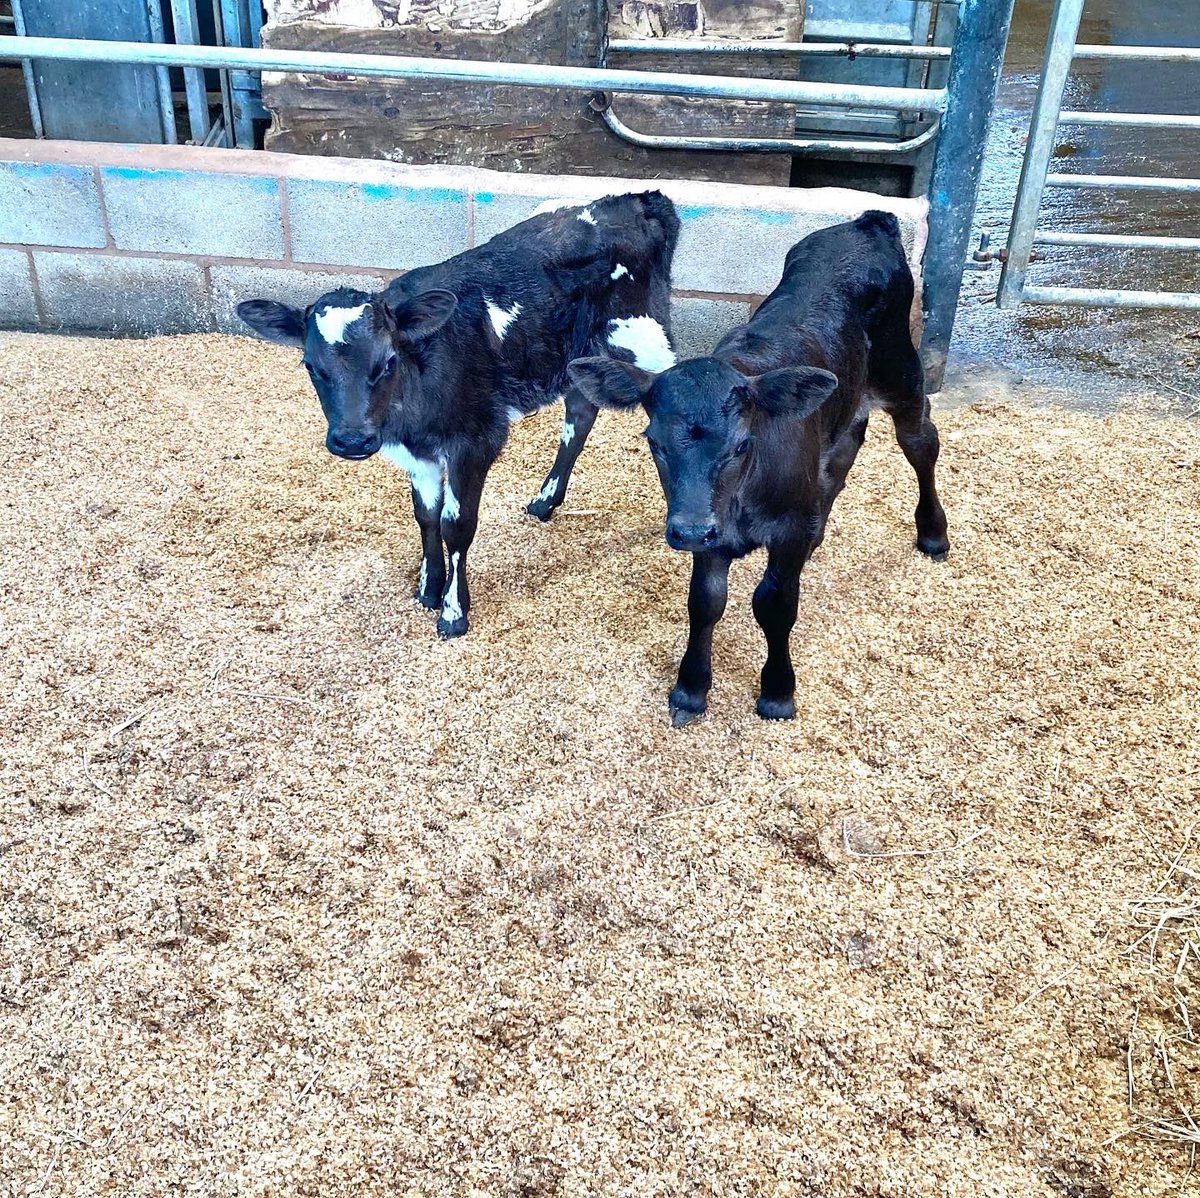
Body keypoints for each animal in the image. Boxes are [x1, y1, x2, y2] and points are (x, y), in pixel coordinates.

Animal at [236, 191, 680, 638]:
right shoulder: (416, 453)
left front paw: (453, 610)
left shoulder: (475, 440)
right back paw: (545, 501)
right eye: (310, 365)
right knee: (581, 412)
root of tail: (641, 199)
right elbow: (426, 517)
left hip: (645, 336)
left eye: (389, 361)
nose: (352, 440)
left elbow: (457, 525)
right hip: (578, 353)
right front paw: (427, 588)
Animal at [566, 211, 949, 724]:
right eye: (653, 442)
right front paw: (690, 688)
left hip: (900, 371)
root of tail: (868, 222)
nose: (688, 531)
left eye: (741, 445)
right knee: (843, 453)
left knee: (921, 442)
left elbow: (774, 603)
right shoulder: (711, 527)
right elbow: (705, 602)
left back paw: (933, 533)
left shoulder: (778, 529)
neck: (743, 503)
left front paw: (777, 691)